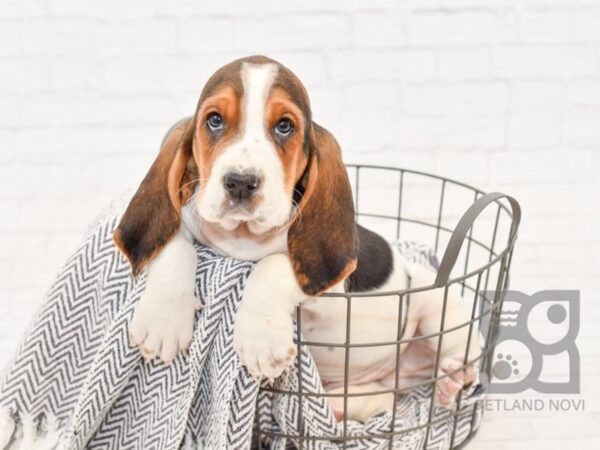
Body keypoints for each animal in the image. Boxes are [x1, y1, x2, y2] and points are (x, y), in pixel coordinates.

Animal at [113, 56, 478, 422]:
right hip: (380, 385)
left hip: (440, 308)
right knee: (382, 399)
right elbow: (173, 244)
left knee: (460, 354)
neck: (242, 237)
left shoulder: (331, 289)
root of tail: (406, 371)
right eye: (214, 120)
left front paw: (261, 340)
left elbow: (275, 264)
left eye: (284, 126)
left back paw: (454, 378)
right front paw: (163, 321)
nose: (240, 182)